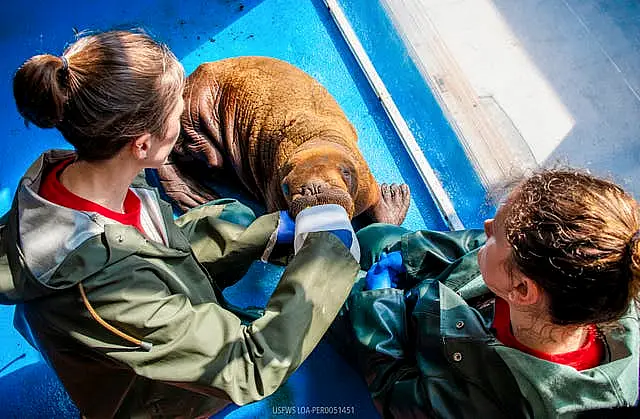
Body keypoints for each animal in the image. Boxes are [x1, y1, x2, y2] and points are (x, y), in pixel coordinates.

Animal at [158, 58, 412, 226]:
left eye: (345, 173)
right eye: (286, 186)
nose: (313, 188)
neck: (313, 137)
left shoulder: (365, 181)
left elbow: (378, 208)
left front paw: (393, 198)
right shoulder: (275, 196)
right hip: (193, 113)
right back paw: (196, 194)